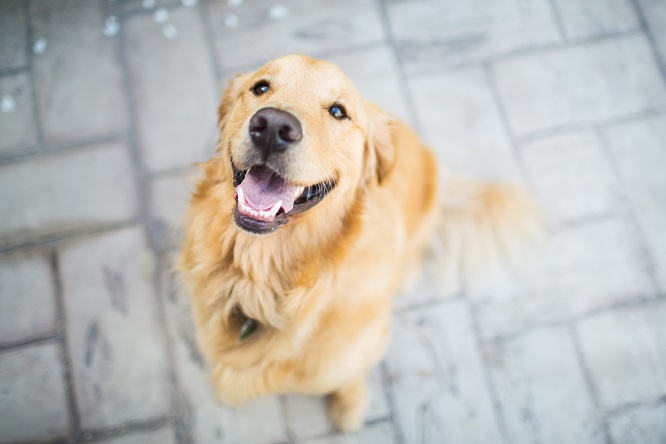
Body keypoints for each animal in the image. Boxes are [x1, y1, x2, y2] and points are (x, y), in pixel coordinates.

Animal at [178, 53, 540, 432]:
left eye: (338, 111)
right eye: (261, 87)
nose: (273, 126)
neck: (265, 282)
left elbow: (350, 376)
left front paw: (350, 407)